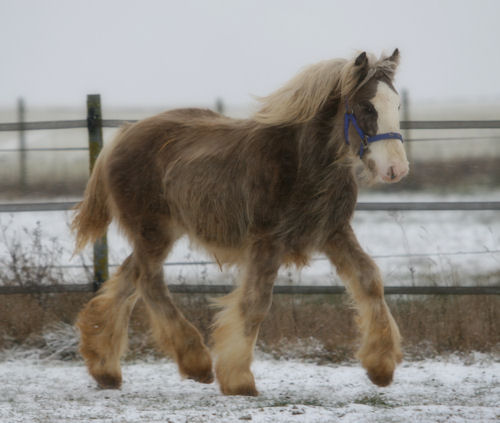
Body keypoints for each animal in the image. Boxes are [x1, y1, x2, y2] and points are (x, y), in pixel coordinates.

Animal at [72, 49, 408, 398]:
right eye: (366, 107)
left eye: (396, 105)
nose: (396, 169)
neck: (302, 163)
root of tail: (123, 135)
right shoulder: (267, 240)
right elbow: (255, 302)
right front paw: (238, 379)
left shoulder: (334, 232)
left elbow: (369, 280)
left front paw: (381, 366)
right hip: (154, 231)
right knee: (149, 282)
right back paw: (196, 363)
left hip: (158, 233)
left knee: (129, 277)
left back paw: (104, 367)